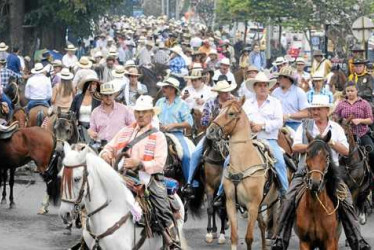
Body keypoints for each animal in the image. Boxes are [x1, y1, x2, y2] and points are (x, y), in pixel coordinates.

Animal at [205, 98, 280, 250]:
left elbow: (249, 238)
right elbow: (234, 236)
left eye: (231, 113)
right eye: (219, 111)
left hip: (272, 202)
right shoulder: (230, 202)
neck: (242, 163)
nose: (211, 130)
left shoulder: (252, 205)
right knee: (263, 225)